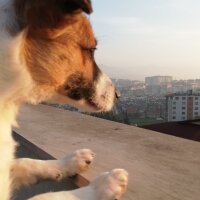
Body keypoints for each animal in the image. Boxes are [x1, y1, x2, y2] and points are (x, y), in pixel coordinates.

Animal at [0, 0, 128, 199]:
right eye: (91, 49)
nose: (118, 96)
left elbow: (25, 162)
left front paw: (68, 162)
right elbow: (52, 195)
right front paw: (102, 185)